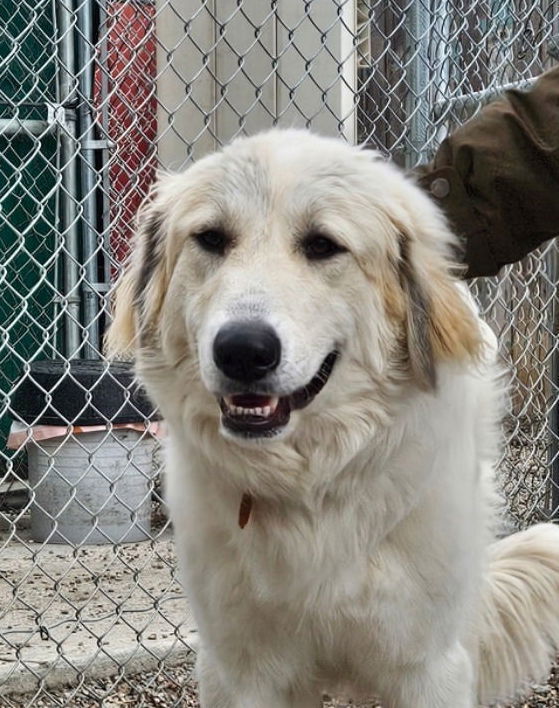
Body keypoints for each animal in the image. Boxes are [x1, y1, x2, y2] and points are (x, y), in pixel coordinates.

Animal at [106, 130, 559, 704]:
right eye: (211, 239)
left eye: (322, 245)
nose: (242, 351)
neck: (311, 489)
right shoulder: (241, 670)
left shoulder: (428, 667)